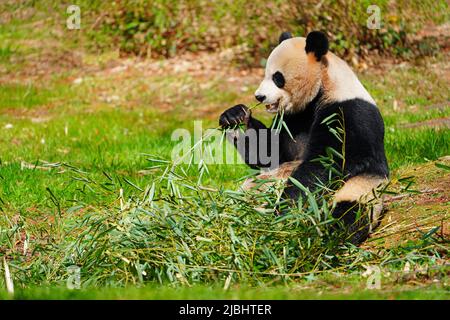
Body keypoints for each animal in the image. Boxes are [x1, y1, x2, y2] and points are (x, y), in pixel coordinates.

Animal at [220, 30, 388, 245]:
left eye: (277, 77)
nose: (259, 97)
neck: (325, 83)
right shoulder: (291, 118)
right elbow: (271, 154)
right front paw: (234, 116)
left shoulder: (348, 113)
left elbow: (325, 162)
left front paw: (288, 208)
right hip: (252, 187)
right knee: (236, 199)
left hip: (365, 187)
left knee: (349, 209)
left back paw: (321, 235)